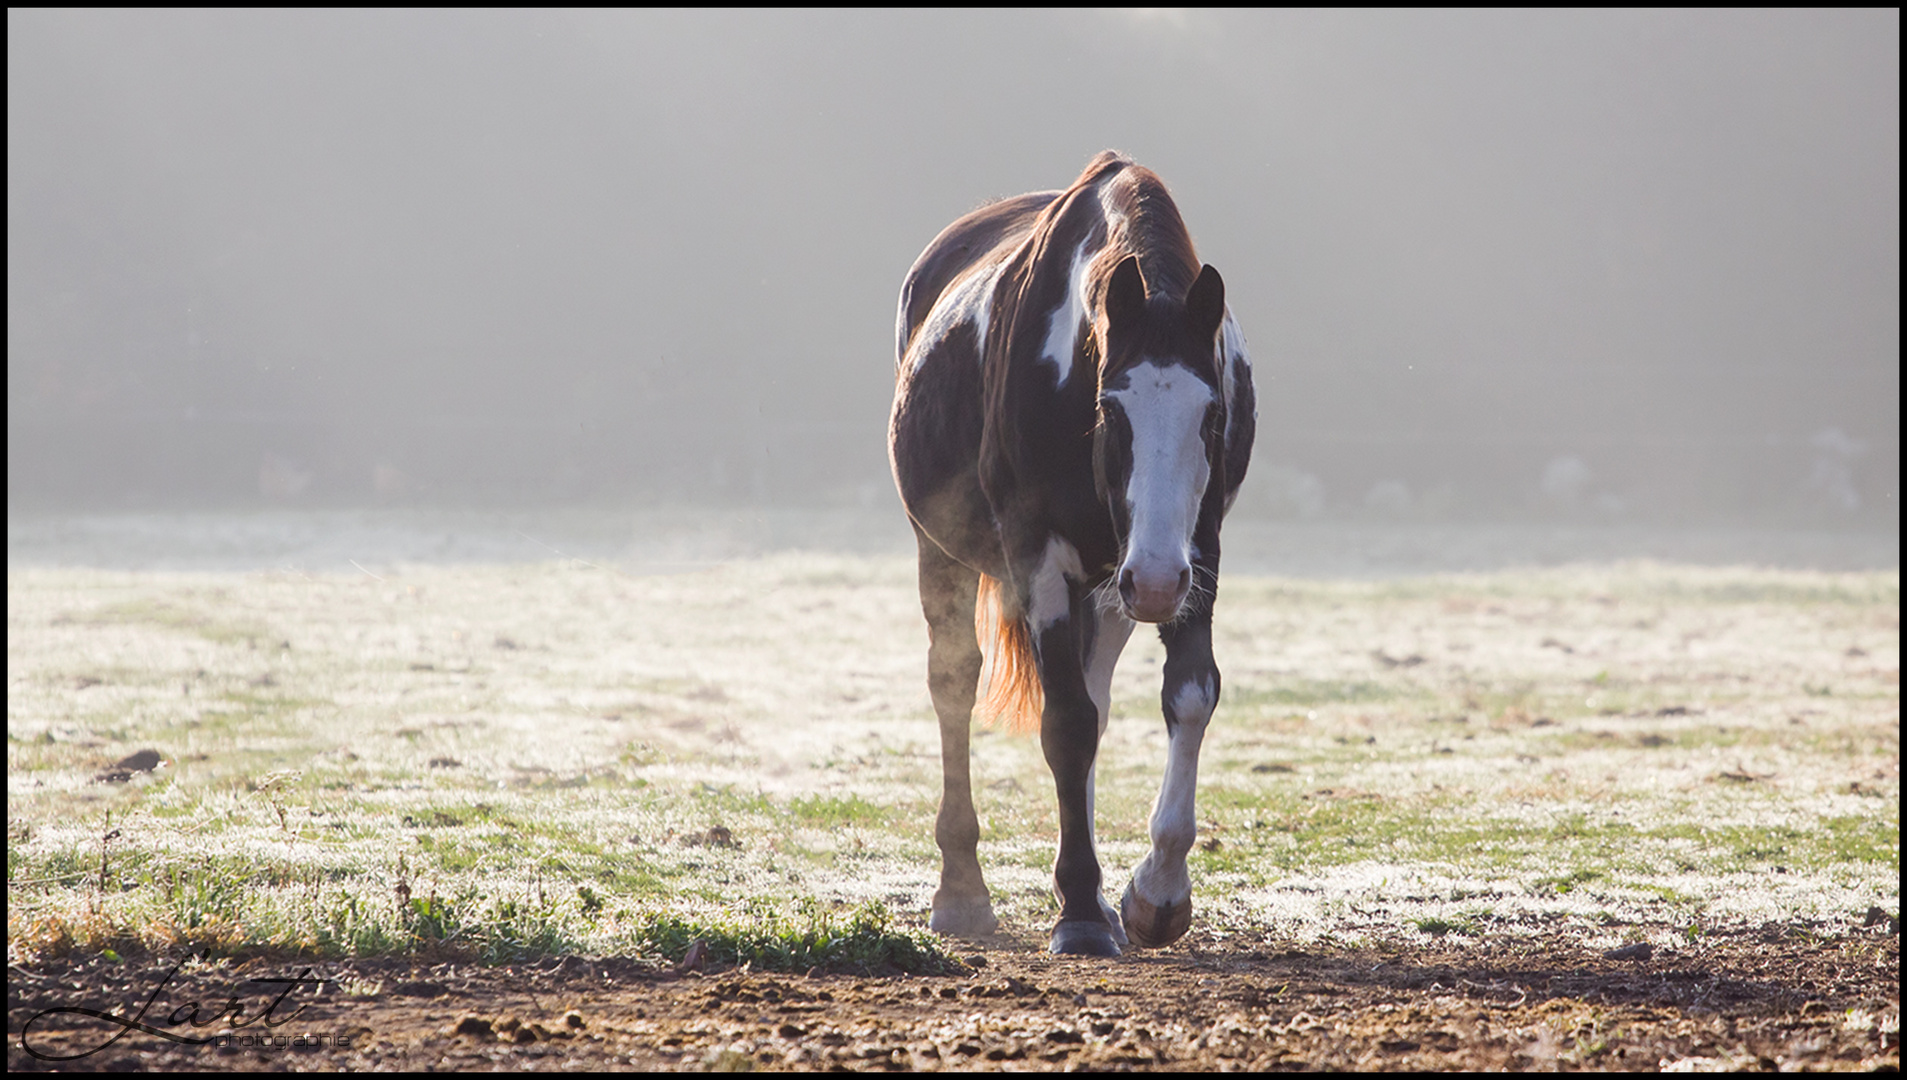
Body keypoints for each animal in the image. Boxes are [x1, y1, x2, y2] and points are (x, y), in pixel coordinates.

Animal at [888, 152, 1258, 957]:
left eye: (1212, 411)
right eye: (1109, 409)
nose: (1156, 583)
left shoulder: (1196, 555)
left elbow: (1188, 696)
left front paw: (1152, 896)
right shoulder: (1040, 557)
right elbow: (1064, 724)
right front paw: (1083, 911)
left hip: (1116, 582)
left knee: (1096, 695)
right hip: (947, 550)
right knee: (954, 684)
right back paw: (961, 892)